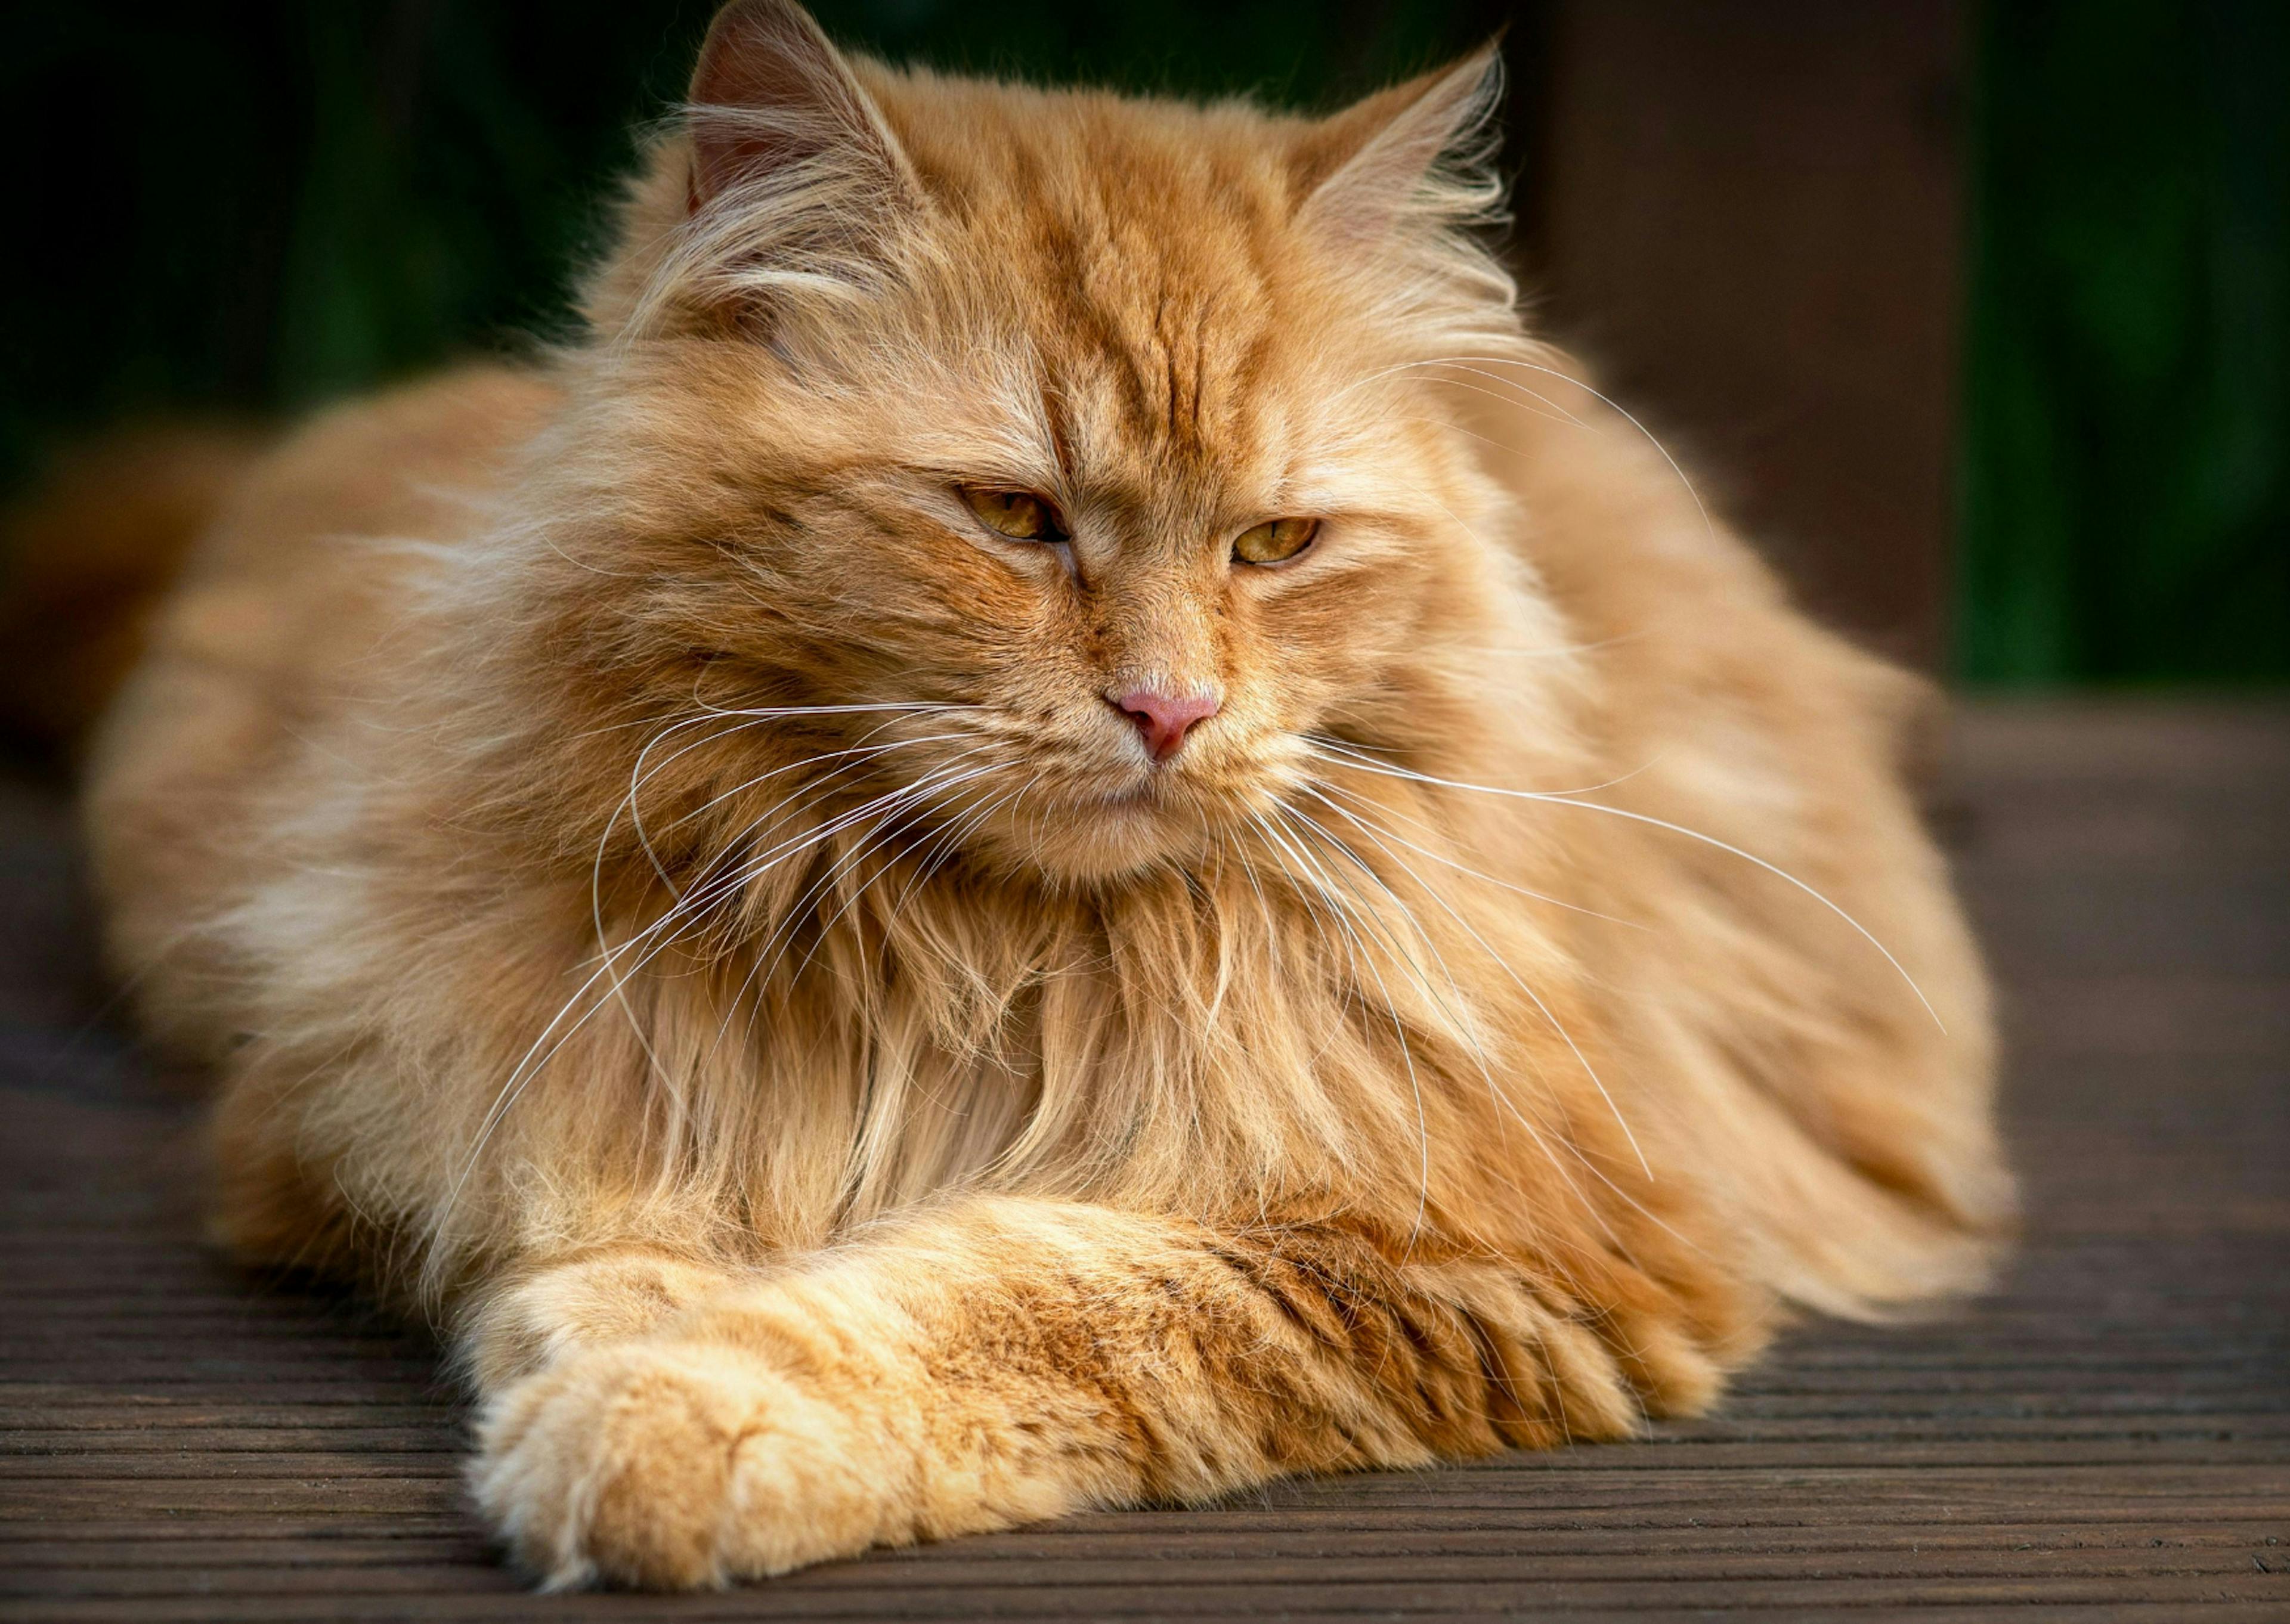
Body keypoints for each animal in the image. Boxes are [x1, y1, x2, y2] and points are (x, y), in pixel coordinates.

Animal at [49, 0, 2024, 1594]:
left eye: (1274, 544)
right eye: (1013, 518)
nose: (1171, 706)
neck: (977, 962)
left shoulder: (1487, 1245)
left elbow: (1016, 1296)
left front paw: (691, 1412)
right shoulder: (422, 1092)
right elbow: (602, 1228)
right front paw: (618, 1353)